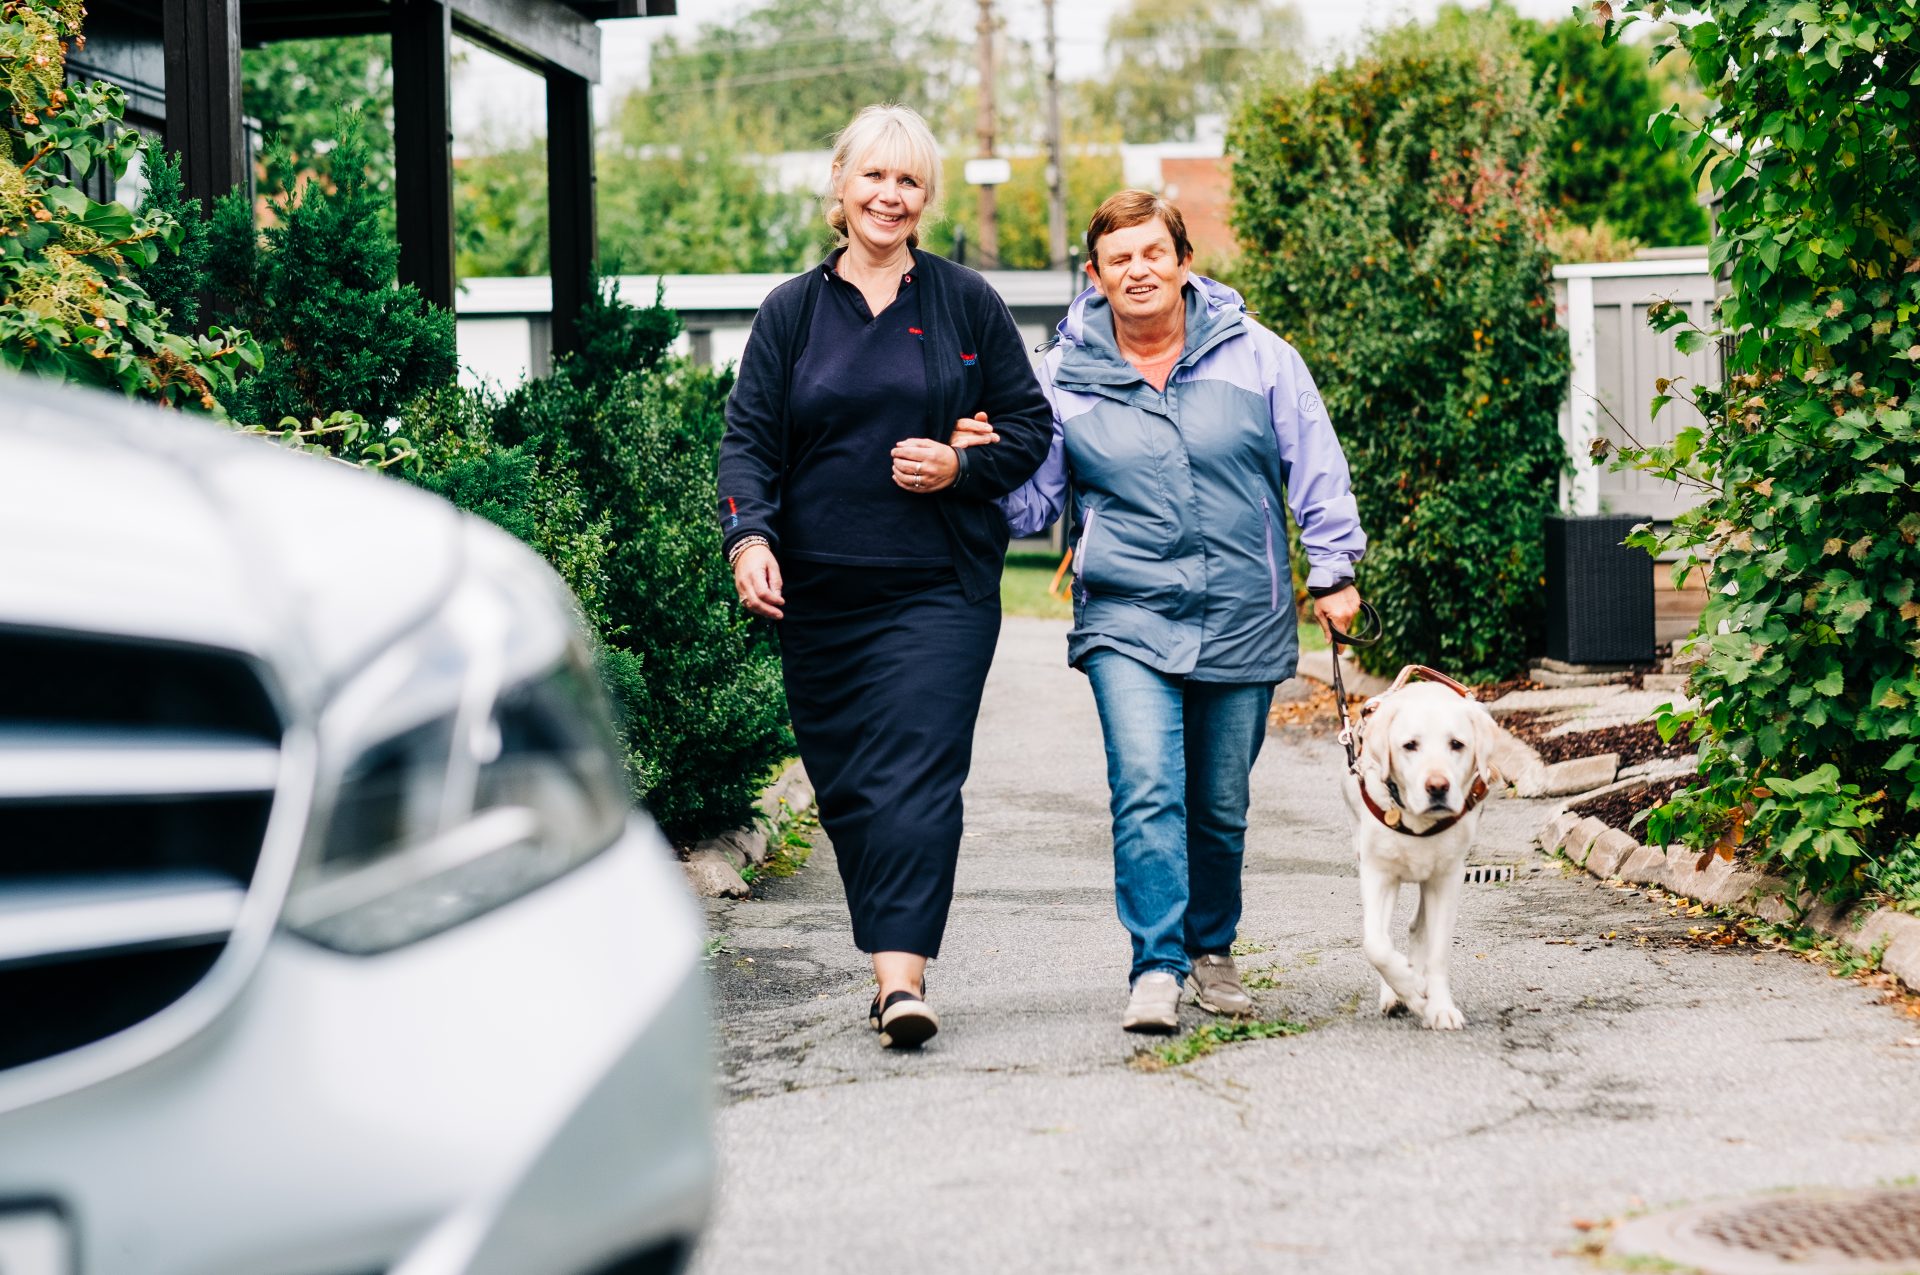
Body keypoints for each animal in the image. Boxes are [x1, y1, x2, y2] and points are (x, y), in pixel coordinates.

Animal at [1344, 660, 1536, 1029]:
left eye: (1457, 744)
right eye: (1410, 745)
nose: (1437, 787)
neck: (1417, 822)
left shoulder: (1446, 879)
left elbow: (1437, 951)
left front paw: (1437, 1006)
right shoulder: (1377, 873)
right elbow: (1376, 944)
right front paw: (1410, 989)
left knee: (1417, 929)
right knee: (1387, 934)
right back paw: (1397, 994)